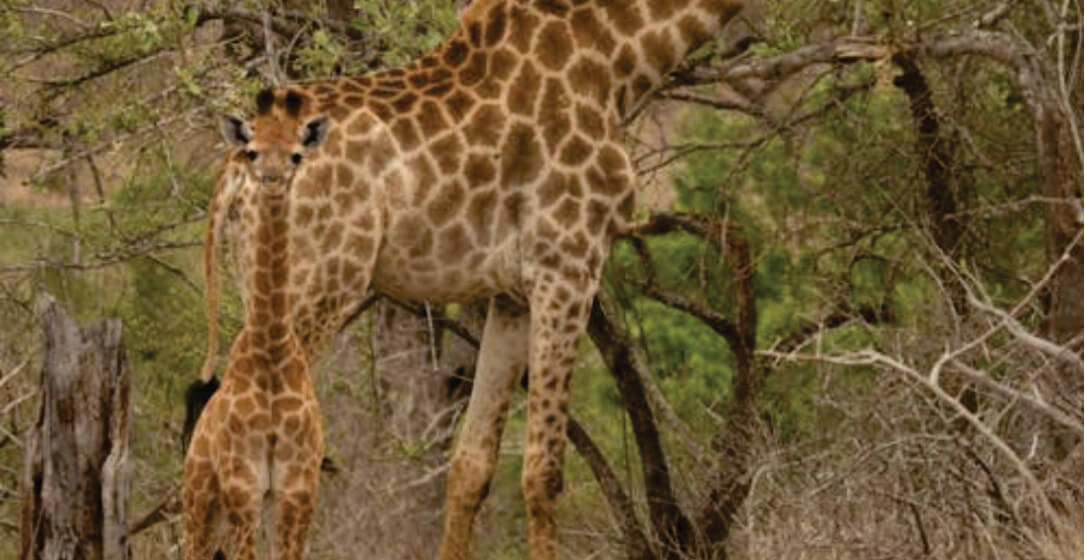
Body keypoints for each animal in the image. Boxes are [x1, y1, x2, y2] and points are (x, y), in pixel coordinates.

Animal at [183, 89, 328, 560]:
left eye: (297, 153)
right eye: (253, 150)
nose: (272, 178)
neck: (272, 352)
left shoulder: (298, 490)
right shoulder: (243, 487)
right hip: (200, 498)